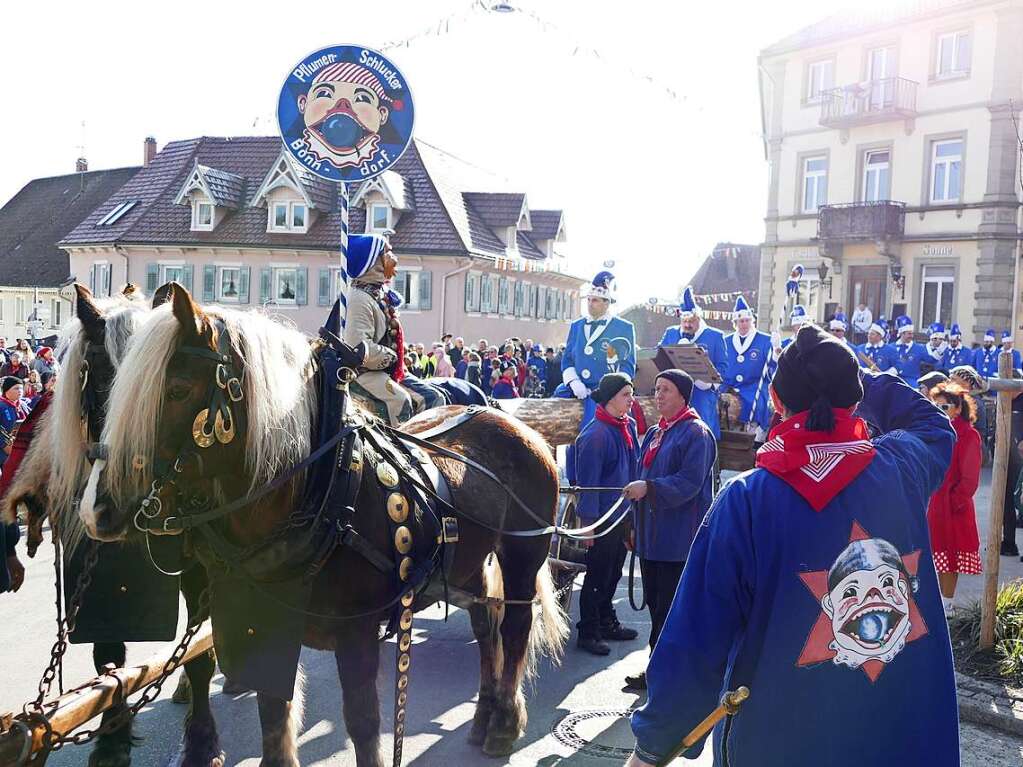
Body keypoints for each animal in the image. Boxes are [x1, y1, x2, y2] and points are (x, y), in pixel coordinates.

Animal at [3, 286, 220, 767]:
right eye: (101, 375)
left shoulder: (203, 567)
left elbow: (199, 646)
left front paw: (202, 742)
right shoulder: (100, 572)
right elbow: (108, 658)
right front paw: (112, 739)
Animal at [79, 286, 568, 767]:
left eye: (178, 389)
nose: (97, 509)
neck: (324, 490)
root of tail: (510, 419)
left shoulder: (358, 636)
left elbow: (363, 724)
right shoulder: (265, 625)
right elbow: (273, 714)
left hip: (523, 556)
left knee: (515, 625)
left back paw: (505, 721)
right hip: (469, 563)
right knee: (486, 623)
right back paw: (485, 713)